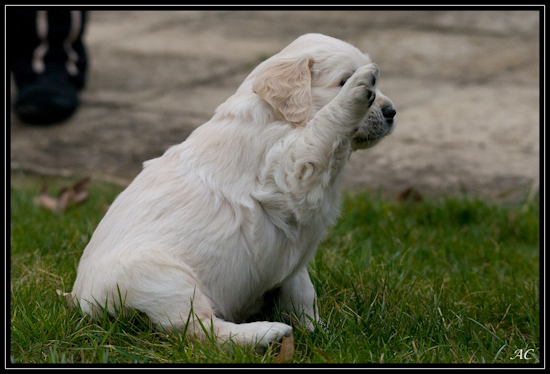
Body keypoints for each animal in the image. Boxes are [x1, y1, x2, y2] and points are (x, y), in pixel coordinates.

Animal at [67, 33, 398, 350]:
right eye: (342, 80)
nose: (392, 111)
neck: (279, 117)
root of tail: (81, 301)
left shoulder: (291, 258)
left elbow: (301, 290)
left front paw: (319, 331)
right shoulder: (291, 172)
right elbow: (321, 131)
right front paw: (355, 92)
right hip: (161, 278)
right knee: (198, 329)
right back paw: (267, 333)